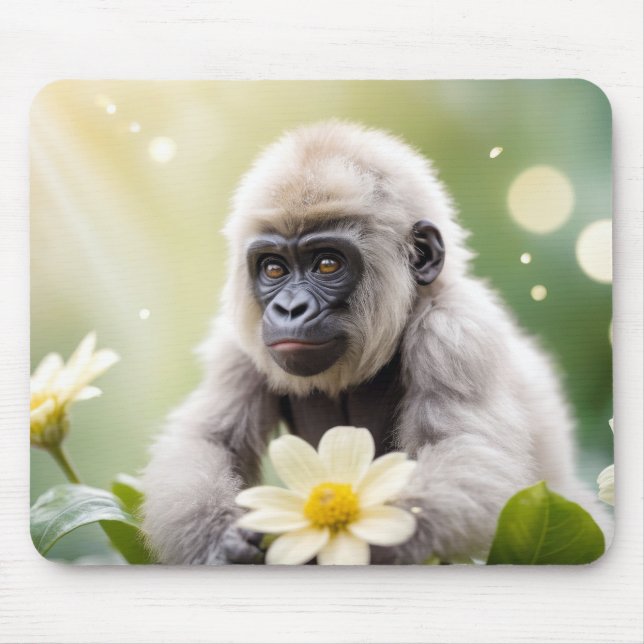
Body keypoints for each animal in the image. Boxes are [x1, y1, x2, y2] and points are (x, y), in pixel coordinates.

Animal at [141, 120, 611, 565]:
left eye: (327, 264)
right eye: (273, 269)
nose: (290, 309)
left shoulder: (455, 332)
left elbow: (466, 457)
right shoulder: (237, 347)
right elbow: (209, 441)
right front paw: (222, 543)